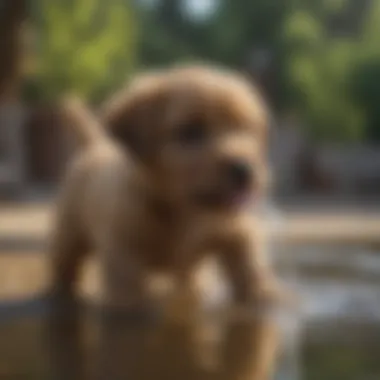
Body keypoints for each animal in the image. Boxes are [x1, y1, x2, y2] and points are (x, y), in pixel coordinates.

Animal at [49, 64, 278, 314]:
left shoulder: (236, 231)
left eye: (247, 130)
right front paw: (131, 305)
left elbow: (249, 263)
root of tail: (96, 146)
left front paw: (262, 294)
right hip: (68, 236)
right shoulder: (123, 250)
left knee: (190, 279)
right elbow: (127, 287)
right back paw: (61, 294)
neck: (185, 212)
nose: (244, 170)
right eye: (191, 132)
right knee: (65, 268)